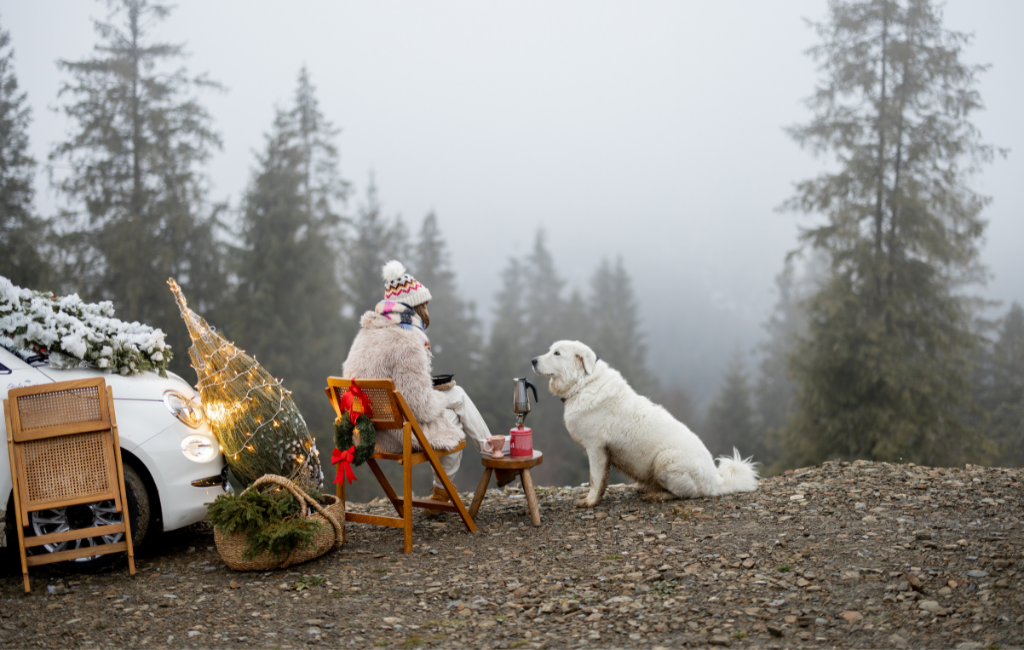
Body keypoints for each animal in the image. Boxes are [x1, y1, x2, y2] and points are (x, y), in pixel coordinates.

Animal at [532, 339, 757, 507]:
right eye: (550, 350)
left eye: (557, 353)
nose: (533, 360)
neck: (584, 384)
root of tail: (717, 481)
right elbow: (602, 480)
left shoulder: (596, 448)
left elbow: (595, 478)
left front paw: (590, 501)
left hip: (664, 459)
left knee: (686, 494)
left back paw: (657, 494)